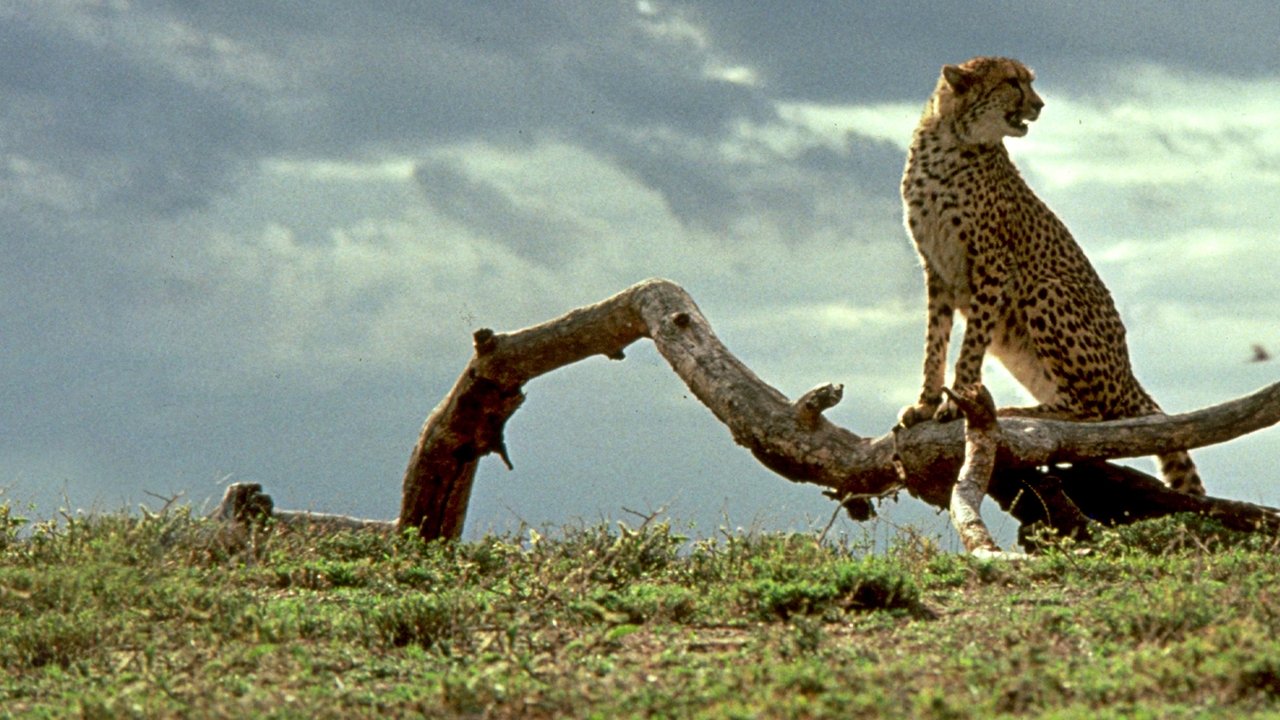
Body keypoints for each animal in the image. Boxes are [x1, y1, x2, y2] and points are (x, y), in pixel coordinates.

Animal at [895, 56, 1204, 495]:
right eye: (1012, 82)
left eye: (1029, 82)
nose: (1039, 105)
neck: (952, 141)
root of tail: (1128, 375)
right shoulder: (936, 269)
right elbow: (934, 344)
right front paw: (925, 404)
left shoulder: (992, 264)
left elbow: (969, 347)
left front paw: (956, 404)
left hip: (1047, 291)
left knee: (1095, 415)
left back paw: (1019, 412)